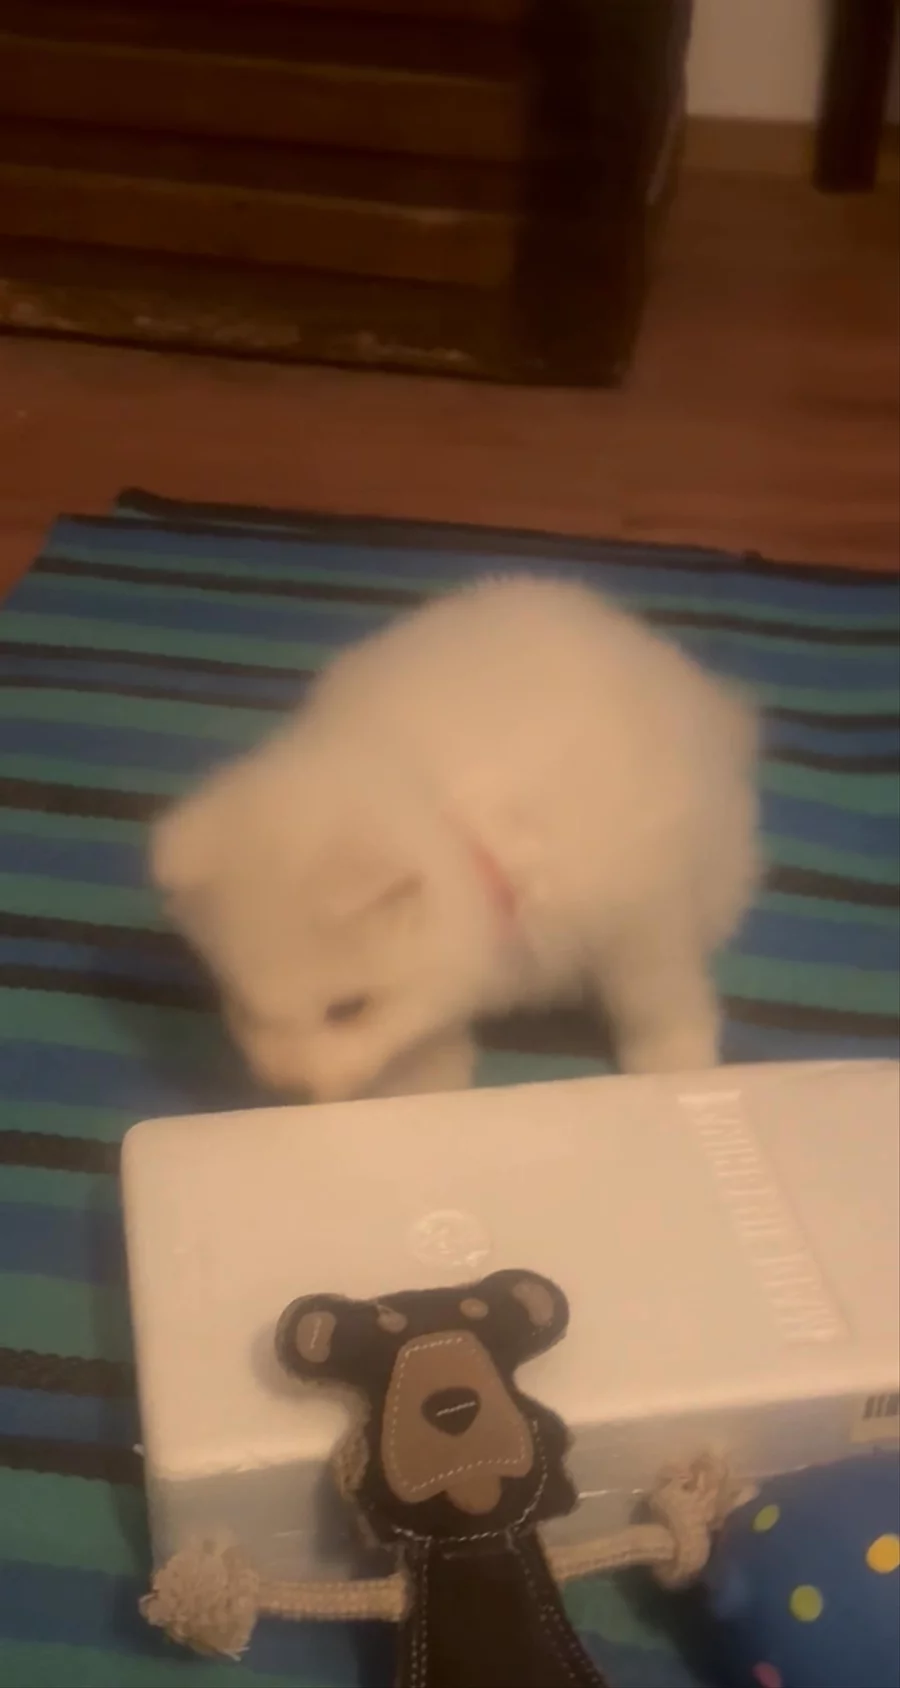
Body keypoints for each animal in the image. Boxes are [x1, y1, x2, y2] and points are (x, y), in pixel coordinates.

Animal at [151, 575, 759, 1103]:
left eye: (348, 1009)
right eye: (241, 1005)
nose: (286, 1090)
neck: (453, 822)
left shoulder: (640, 913)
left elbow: (655, 994)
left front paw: (677, 1063)